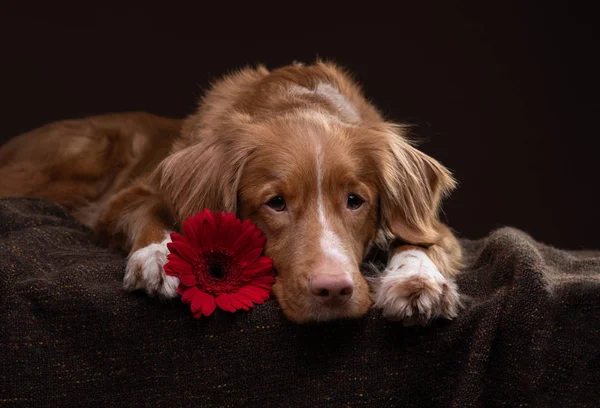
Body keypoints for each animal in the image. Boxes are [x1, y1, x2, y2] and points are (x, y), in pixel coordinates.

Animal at [0, 60, 464, 324]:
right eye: (276, 203)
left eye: (355, 201)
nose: (333, 291)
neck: (298, 101)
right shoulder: (123, 199)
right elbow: (148, 212)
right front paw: (160, 258)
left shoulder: (430, 222)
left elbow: (420, 240)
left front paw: (416, 281)